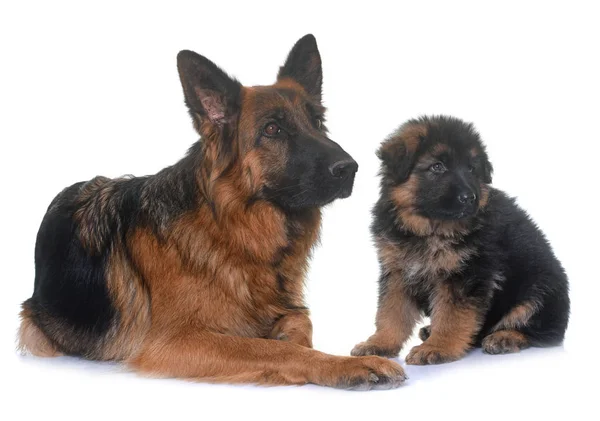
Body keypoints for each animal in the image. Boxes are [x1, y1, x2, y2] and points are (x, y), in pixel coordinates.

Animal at [18, 34, 406, 388]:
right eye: (273, 129)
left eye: (318, 122)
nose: (350, 168)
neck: (233, 231)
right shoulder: (176, 343)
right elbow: (277, 349)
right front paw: (344, 364)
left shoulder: (291, 309)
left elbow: (299, 325)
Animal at [354, 115, 568, 364]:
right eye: (438, 167)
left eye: (472, 169)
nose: (469, 198)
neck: (430, 229)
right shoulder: (398, 272)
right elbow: (391, 312)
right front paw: (380, 343)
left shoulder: (465, 275)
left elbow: (451, 316)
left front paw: (437, 347)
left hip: (540, 288)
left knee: (540, 331)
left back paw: (505, 337)